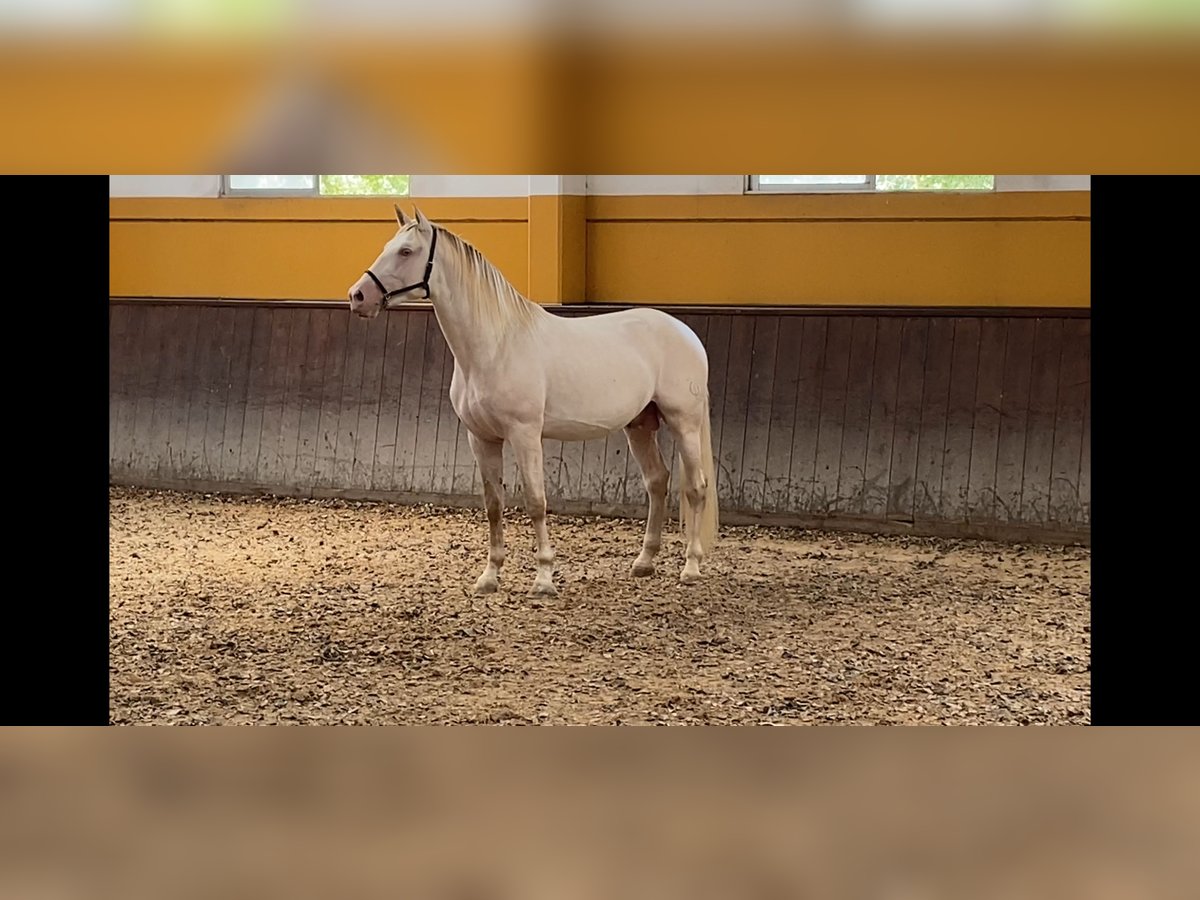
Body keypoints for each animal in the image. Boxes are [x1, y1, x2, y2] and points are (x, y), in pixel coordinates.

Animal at [348, 206, 720, 600]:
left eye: (406, 251)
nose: (358, 296)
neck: (495, 346)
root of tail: (685, 332)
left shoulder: (525, 434)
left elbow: (536, 502)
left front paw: (543, 578)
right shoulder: (482, 439)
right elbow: (494, 505)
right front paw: (490, 576)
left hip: (684, 423)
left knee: (695, 488)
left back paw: (691, 567)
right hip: (639, 426)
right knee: (657, 482)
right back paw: (644, 562)